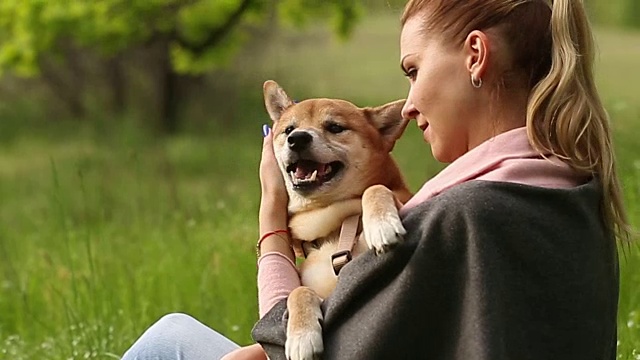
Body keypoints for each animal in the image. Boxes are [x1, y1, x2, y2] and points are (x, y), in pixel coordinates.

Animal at [262, 81, 412, 360]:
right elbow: (298, 291)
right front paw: (301, 336)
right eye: (288, 129)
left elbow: (374, 188)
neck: (334, 225)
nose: (297, 138)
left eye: (334, 127)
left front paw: (381, 225)